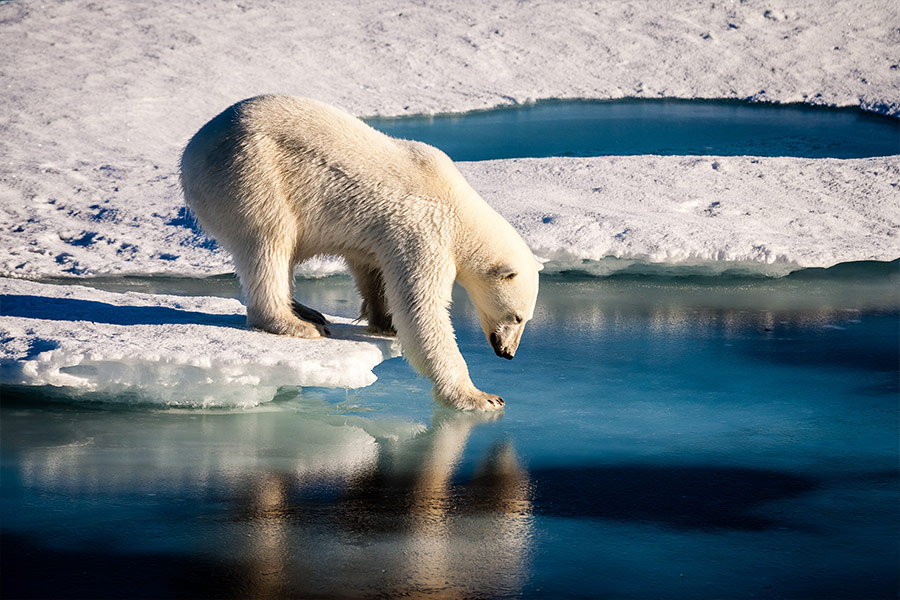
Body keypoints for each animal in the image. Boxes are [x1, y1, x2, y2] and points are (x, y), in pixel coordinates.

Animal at [180, 95, 539, 411]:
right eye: (517, 317)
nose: (507, 353)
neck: (457, 207)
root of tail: (192, 149)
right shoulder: (425, 233)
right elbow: (422, 310)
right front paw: (481, 397)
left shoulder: (383, 236)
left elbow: (373, 270)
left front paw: (384, 322)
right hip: (251, 173)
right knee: (269, 241)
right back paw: (296, 323)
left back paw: (307, 311)